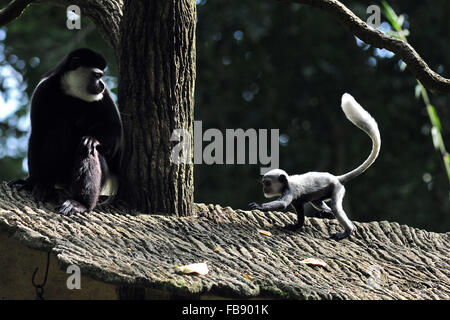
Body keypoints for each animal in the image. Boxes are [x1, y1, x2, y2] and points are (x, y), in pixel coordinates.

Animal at [10, 47, 123, 216]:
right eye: (97, 75)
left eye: (101, 76)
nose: (102, 84)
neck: (72, 93)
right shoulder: (43, 89)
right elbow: (38, 133)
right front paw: (31, 181)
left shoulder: (104, 97)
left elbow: (115, 130)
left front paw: (92, 138)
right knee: (57, 130)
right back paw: (44, 185)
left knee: (87, 150)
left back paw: (79, 203)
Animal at [250, 94, 380, 241]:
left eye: (267, 183)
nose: (264, 189)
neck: (287, 181)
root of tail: (336, 178)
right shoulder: (296, 200)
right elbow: (299, 211)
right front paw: (296, 226)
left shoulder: (289, 190)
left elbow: (282, 204)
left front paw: (259, 206)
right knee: (319, 202)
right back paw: (327, 214)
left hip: (337, 189)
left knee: (335, 207)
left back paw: (347, 231)